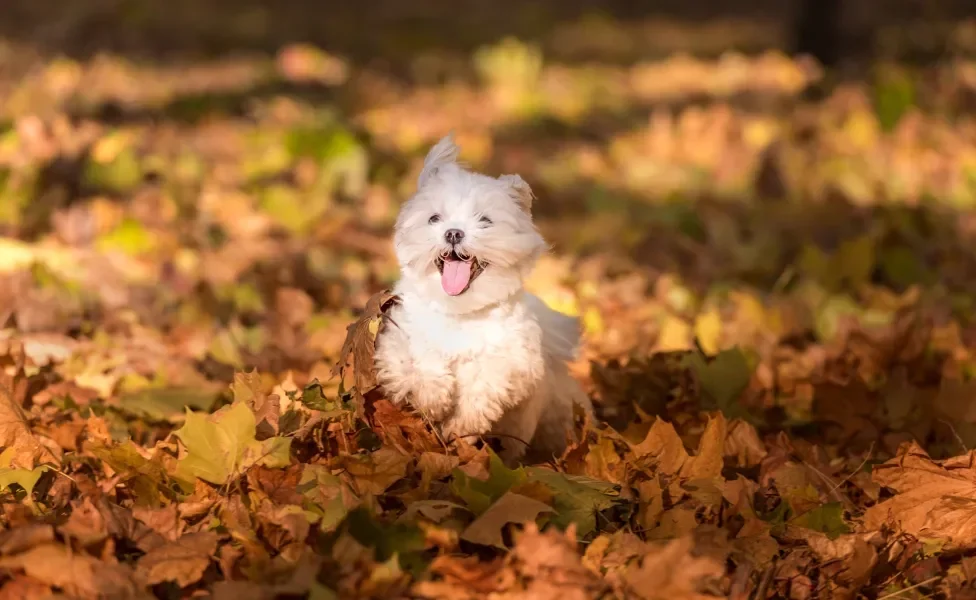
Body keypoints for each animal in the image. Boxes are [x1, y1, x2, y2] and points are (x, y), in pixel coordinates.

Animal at [372, 134, 588, 462]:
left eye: (485, 221)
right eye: (434, 218)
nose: (453, 233)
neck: (459, 312)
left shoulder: (515, 361)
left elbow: (485, 383)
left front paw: (460, 426)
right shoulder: (398, 337)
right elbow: (418, 359)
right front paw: (433, 396)